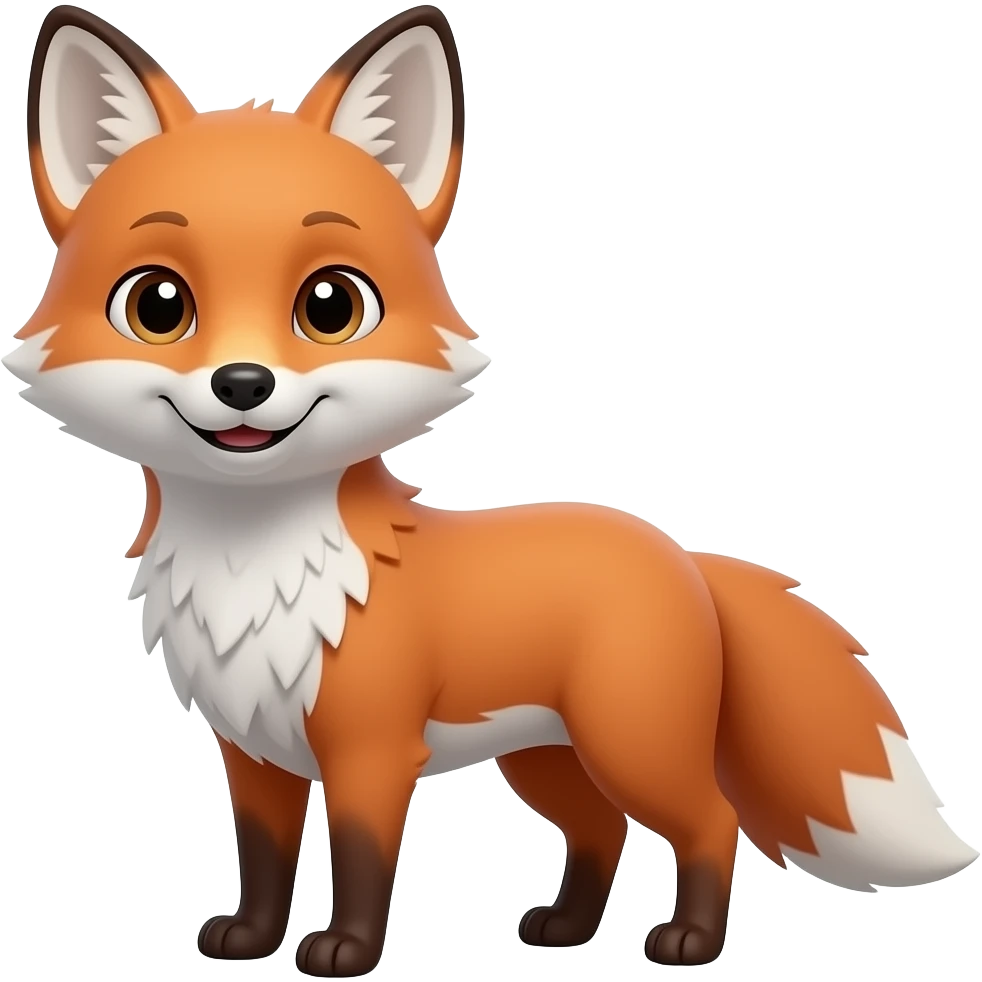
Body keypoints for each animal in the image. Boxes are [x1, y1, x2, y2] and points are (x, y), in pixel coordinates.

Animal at [6, 3, 978, 975]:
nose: (242, 384)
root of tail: (680, 552)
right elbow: (265, 856)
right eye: (158, 305)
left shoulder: (370, 751)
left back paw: (690, 942)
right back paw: (565, 930)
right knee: (600, 832)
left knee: (711, 819)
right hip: (548, 759)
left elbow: (361, 859)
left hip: (630, 743)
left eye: (330, 305)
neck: (257, 568)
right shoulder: (254, 751)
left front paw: (345, 951)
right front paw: (248, 939)